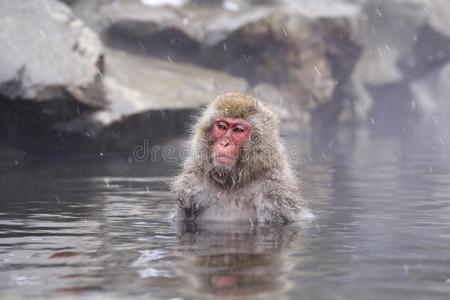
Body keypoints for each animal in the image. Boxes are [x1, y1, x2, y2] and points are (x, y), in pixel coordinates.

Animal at [171, 92, 308, 224]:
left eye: (238, 130)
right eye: (221, 127)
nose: (224, 143)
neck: (231, 183)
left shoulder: (274, 191)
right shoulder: (191, 184)